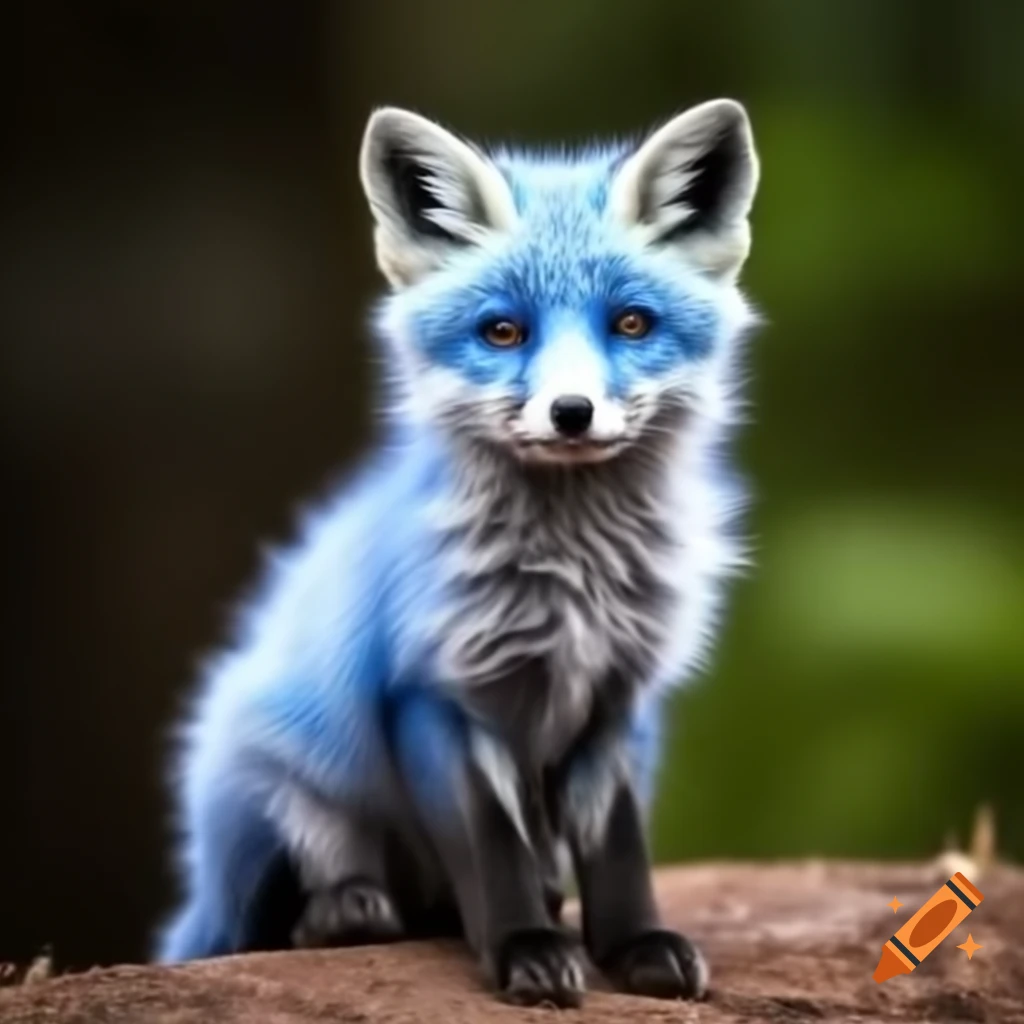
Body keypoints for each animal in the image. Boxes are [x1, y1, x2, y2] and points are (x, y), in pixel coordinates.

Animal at [155, 98, 761, 1008]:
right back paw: (347, 912)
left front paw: (635, 947)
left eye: (630, 323)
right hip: (282, 784)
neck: (570, 579)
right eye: (503, 331)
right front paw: (526, 952)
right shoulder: (435, 699)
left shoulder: (616, 700)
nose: (572, 412)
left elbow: (620, 853)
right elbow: (492, 848)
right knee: (284, 917)